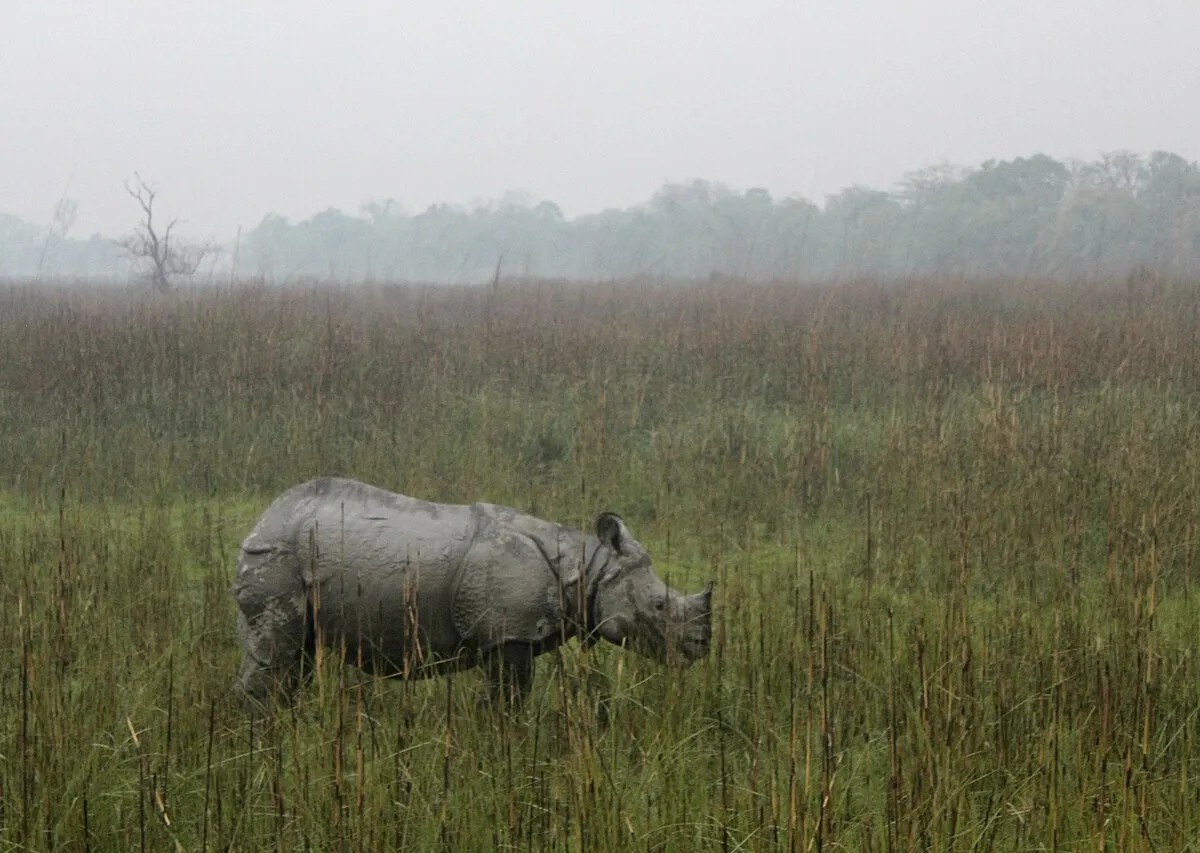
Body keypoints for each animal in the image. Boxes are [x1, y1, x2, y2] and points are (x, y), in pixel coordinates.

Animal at [232, 477, 713, 711]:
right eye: (659, 606)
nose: (701, 647)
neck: (588, 569)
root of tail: (264, 519)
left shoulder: (511, 634)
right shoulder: (508, 633)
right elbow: (505, 701)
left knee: (295, 657)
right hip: (277, 557)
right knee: (277, 652)